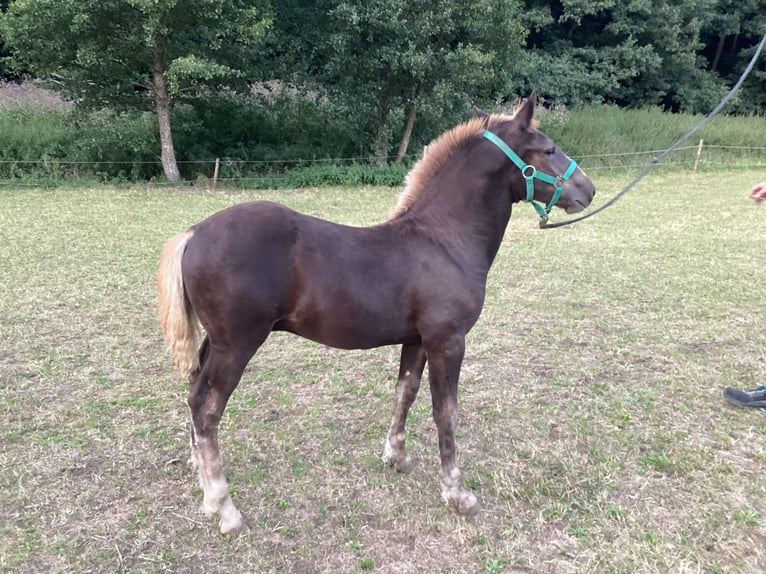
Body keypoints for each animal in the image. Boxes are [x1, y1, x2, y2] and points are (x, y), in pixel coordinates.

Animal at [157, 94, 595, 534]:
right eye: (549, 149)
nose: (588, 190)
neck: (443, 241)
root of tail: (194, 233)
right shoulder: (448, 341)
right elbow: (446, 411)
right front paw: (457, 492)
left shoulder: (417, 340)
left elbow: (406, 391)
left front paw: (396, 456)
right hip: (237, 345)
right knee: (208, 411)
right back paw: (224, 506)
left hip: (215, 343)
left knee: (194, 395)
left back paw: (202, 479)